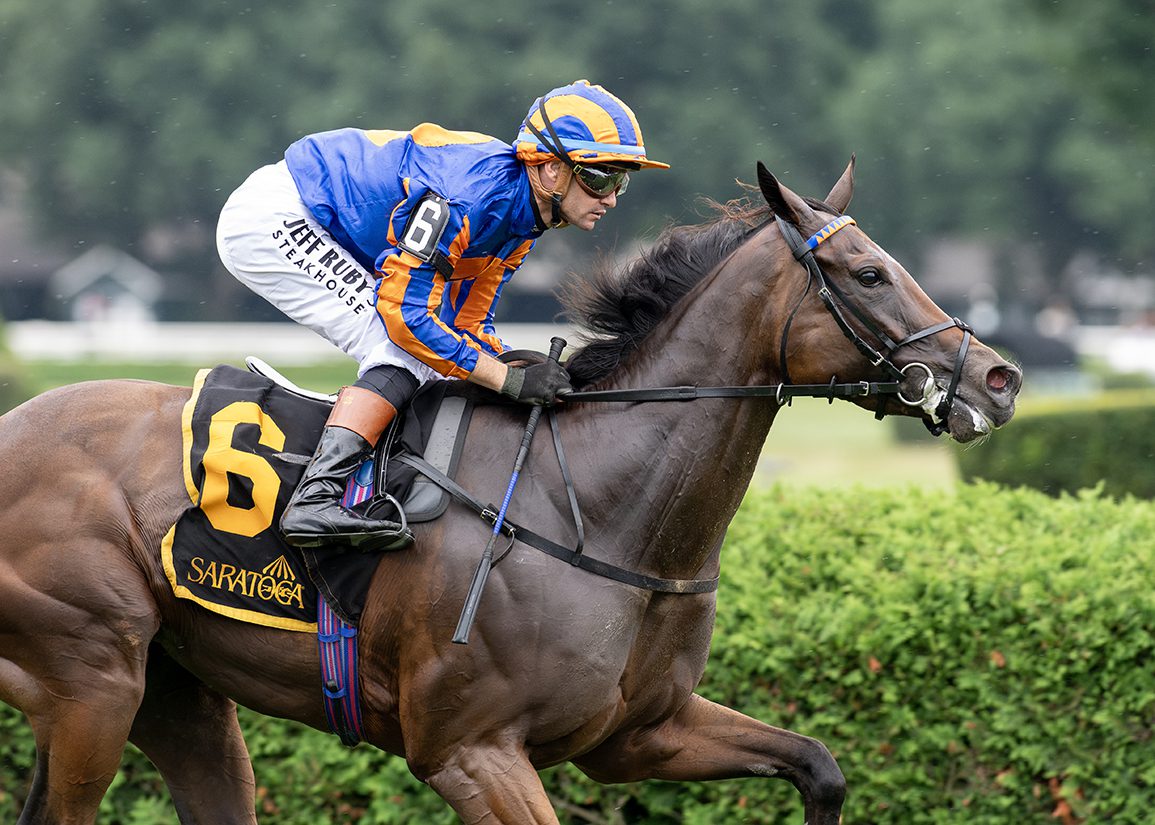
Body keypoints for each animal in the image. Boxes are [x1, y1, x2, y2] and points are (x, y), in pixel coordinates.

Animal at [0, 159, 1020, 824]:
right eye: (869, 272)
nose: (999, 377)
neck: (604, 511)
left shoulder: (638, 732)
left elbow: (818, 765)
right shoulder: (470, 750)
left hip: (179, 694)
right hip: (92, 677)